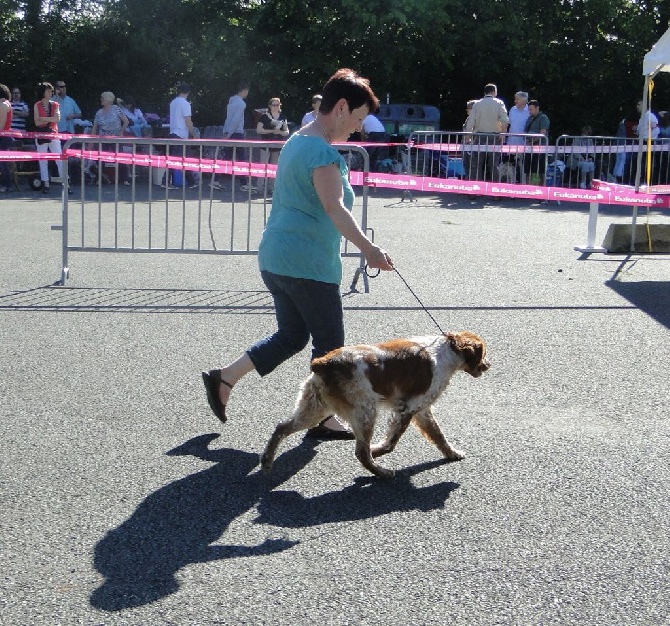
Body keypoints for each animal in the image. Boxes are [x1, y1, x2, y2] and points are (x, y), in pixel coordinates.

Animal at [260, 332, 490, 478]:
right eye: (484, 354)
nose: (488, 365)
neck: (446, 350)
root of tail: (322, 363)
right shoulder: (409, 408)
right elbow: (392, 442)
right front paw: (378, 450)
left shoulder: (422, 410)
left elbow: (439, 436)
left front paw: (452, 454)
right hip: (365, 412)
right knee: (361, 453)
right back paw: (382, 473)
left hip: (315, 408)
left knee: (281, 427)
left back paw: (266, 461)